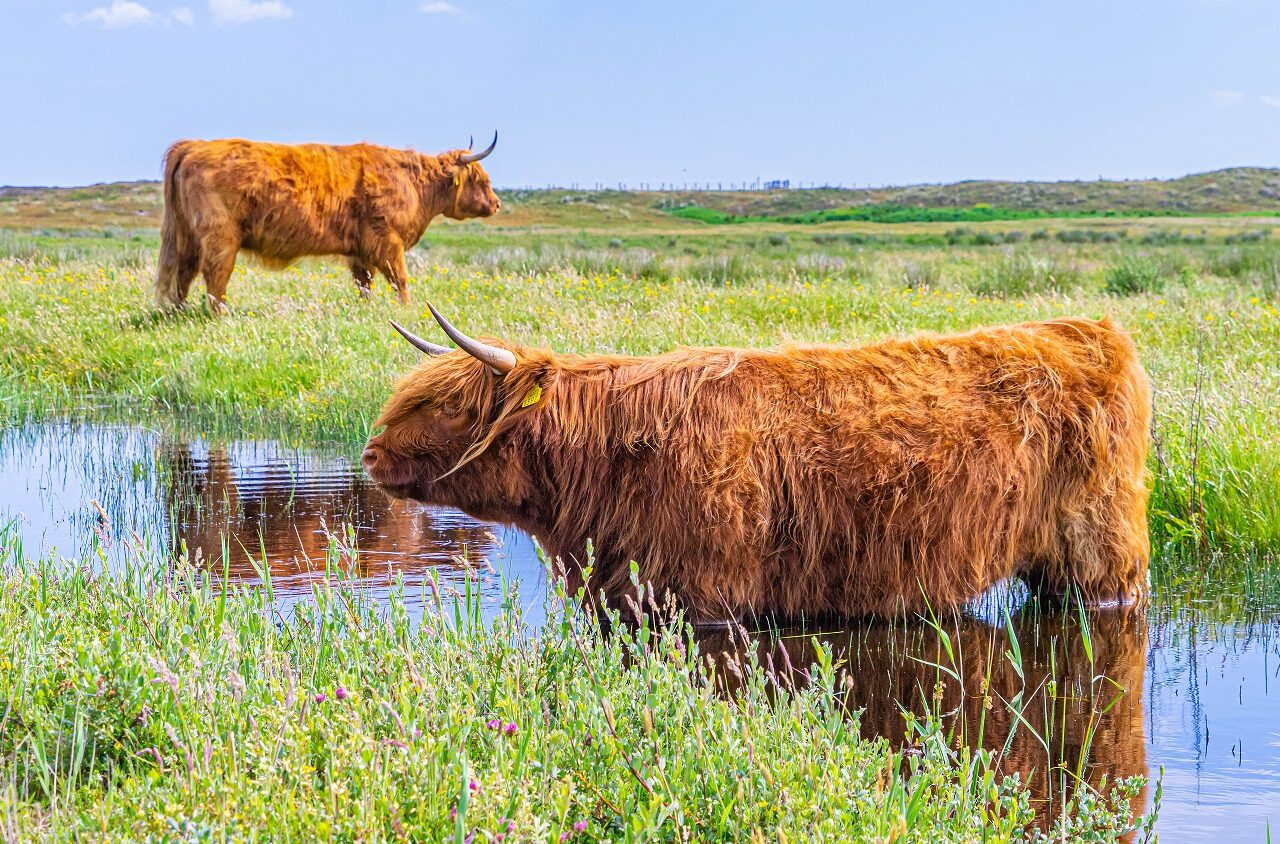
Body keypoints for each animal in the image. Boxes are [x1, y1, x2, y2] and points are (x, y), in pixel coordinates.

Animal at [154, 133, 499, 312]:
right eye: (482, 180)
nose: (496, 204)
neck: (415, 184)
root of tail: (195, 144)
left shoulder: (361, 249)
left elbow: (364, 283)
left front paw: (366, 308)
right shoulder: (387, 241)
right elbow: (399, 278)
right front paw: (407, 308)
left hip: (186, 235)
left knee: (184, 273)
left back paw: (180, 311)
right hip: (220, 236)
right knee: (215, 277)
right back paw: (222, 315)